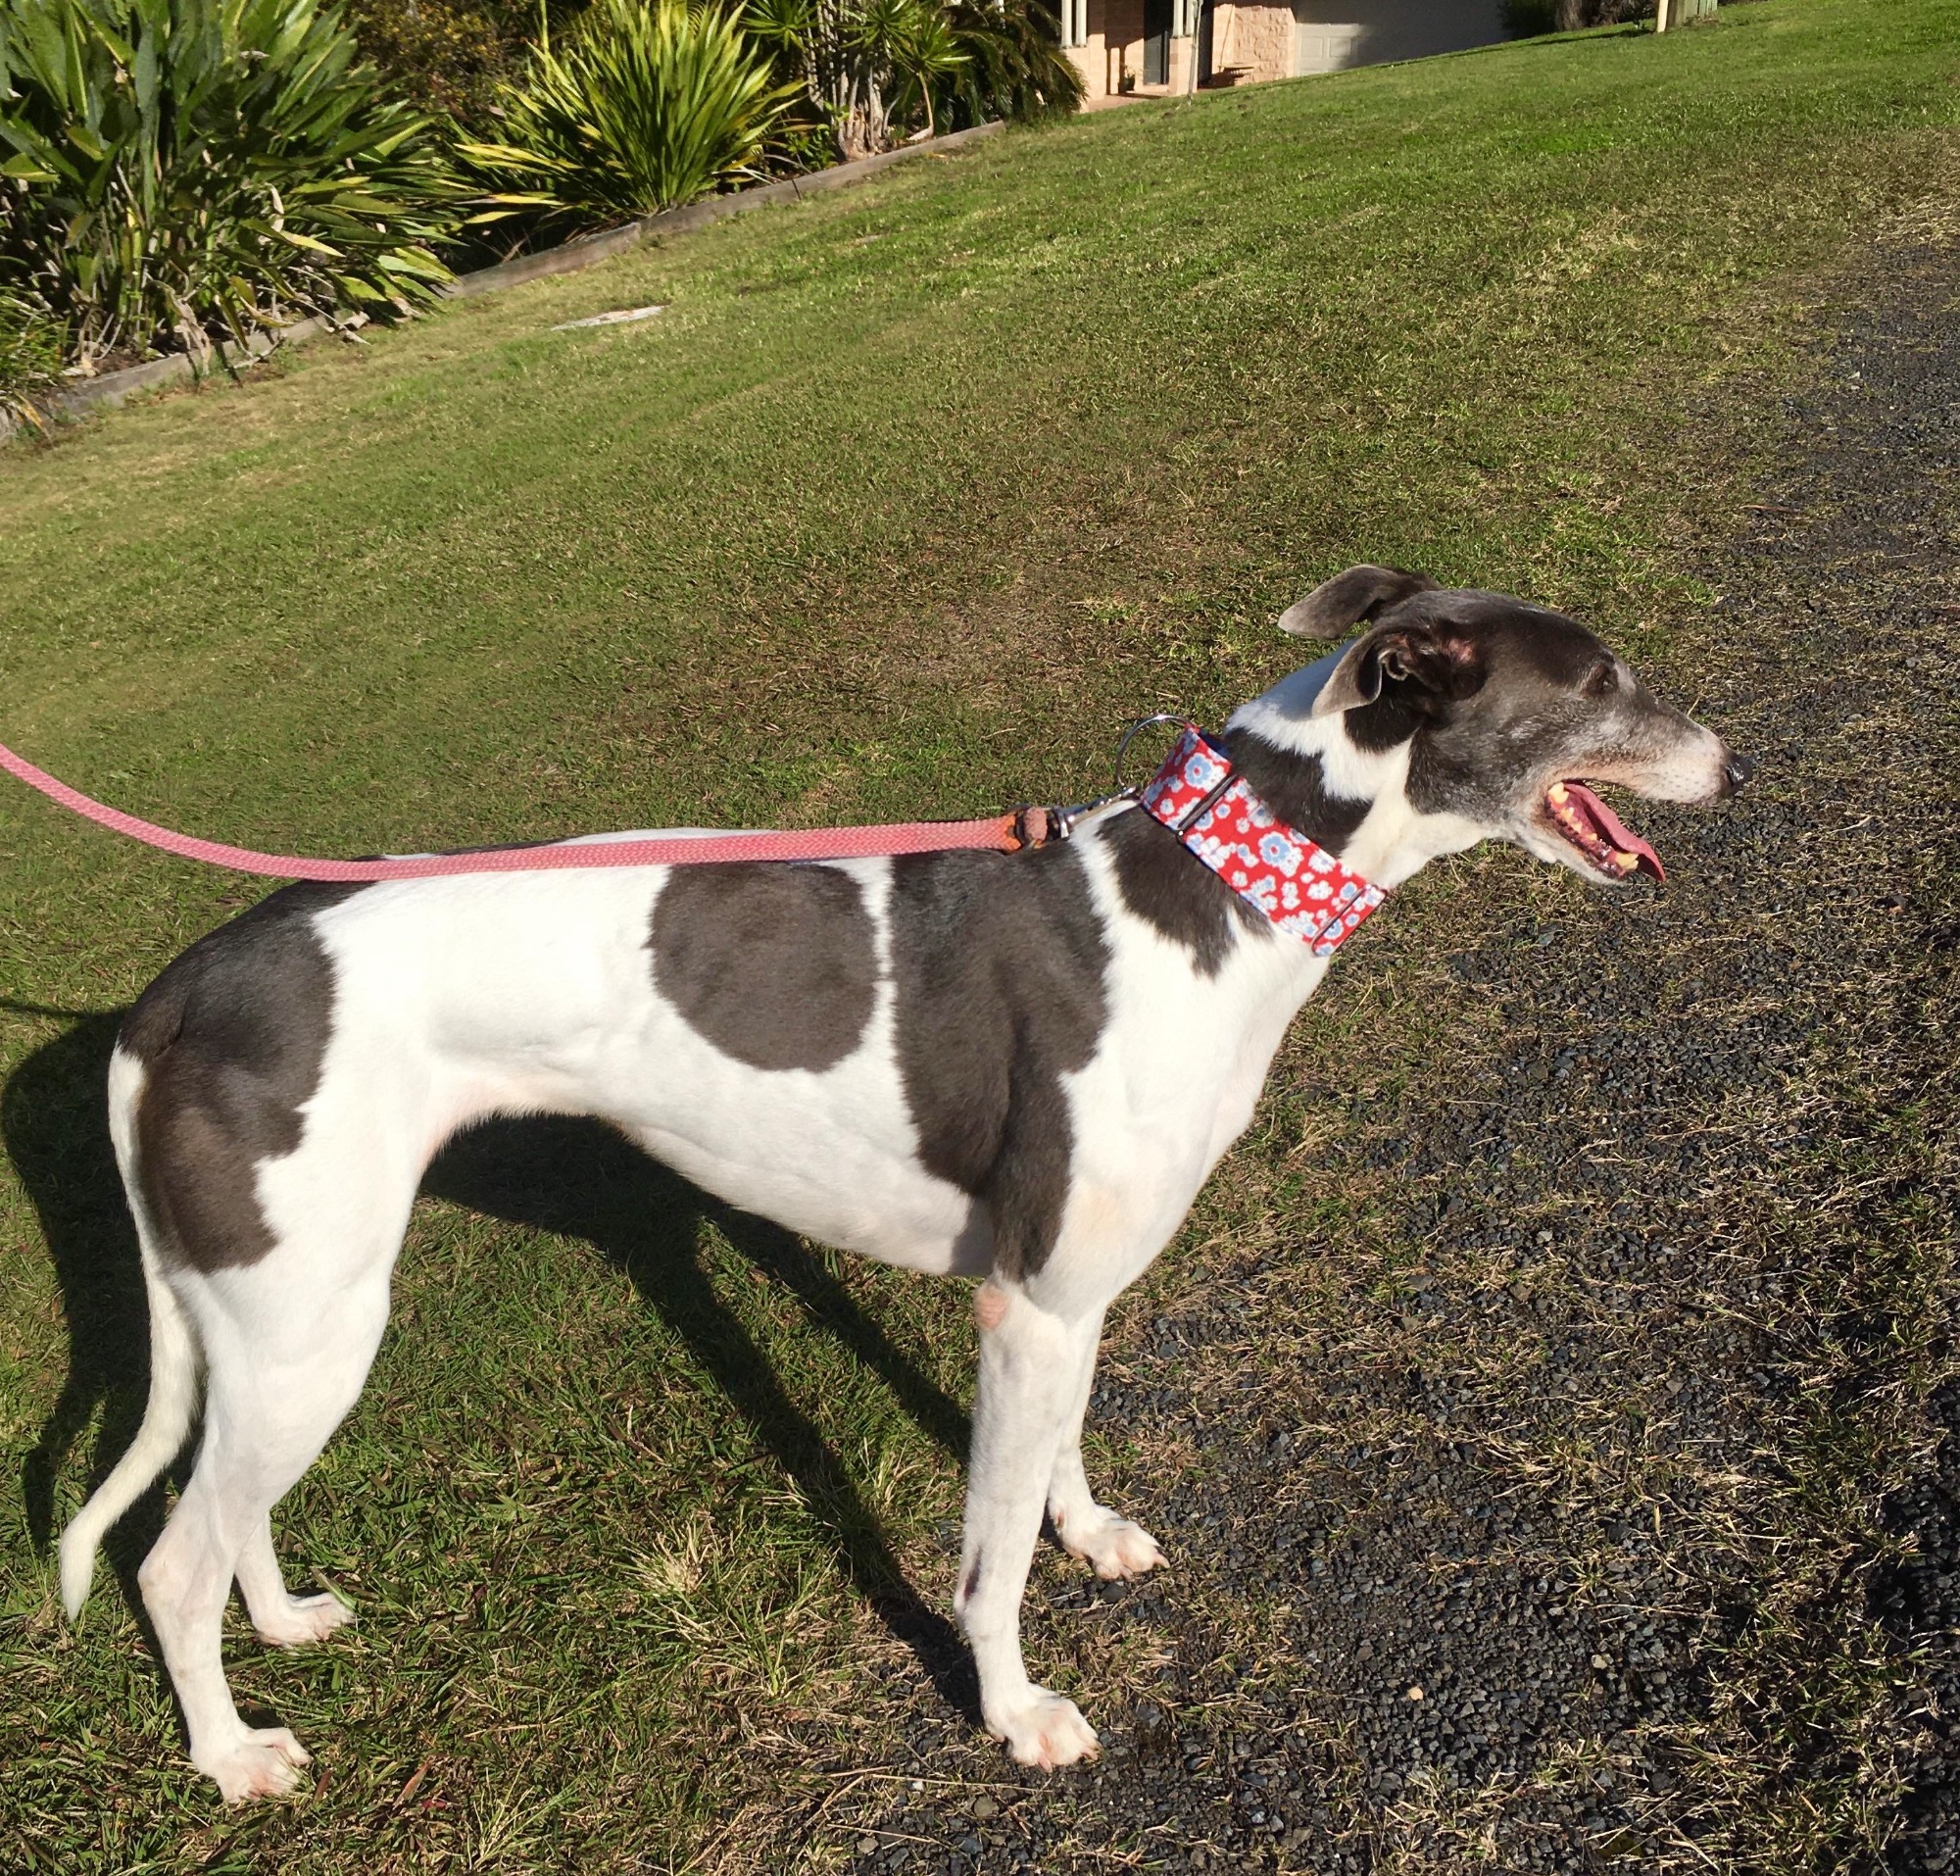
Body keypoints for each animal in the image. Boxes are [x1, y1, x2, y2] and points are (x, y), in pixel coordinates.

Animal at [57, 566, 1750, 1800]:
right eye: (1600, 683)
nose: (1737, 762)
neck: (1211, 888)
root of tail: (172, 998)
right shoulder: (1028, 1303)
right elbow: (985, 1561)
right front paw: (1016, 1709)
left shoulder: (1068, 1294)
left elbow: (1055, 1461)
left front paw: (1091, 1532)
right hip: (313, 1320)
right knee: (168, 1556)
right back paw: (229, 1755)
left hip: (278, 1326)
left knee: (224, 1503)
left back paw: (283, 1621)